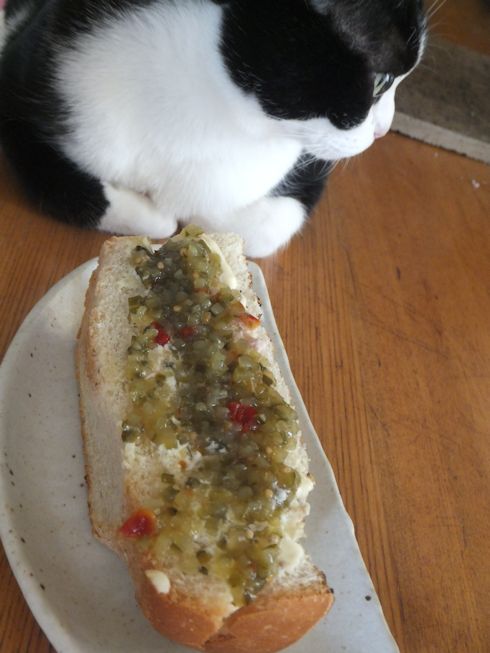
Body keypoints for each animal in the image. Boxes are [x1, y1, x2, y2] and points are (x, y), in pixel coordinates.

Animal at [0, 0, 426, 257]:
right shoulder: (33, 90)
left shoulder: (308, 160)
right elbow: (62, 187)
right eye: (381, 81)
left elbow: (260, 226)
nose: (383, 130)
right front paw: (150, 210)